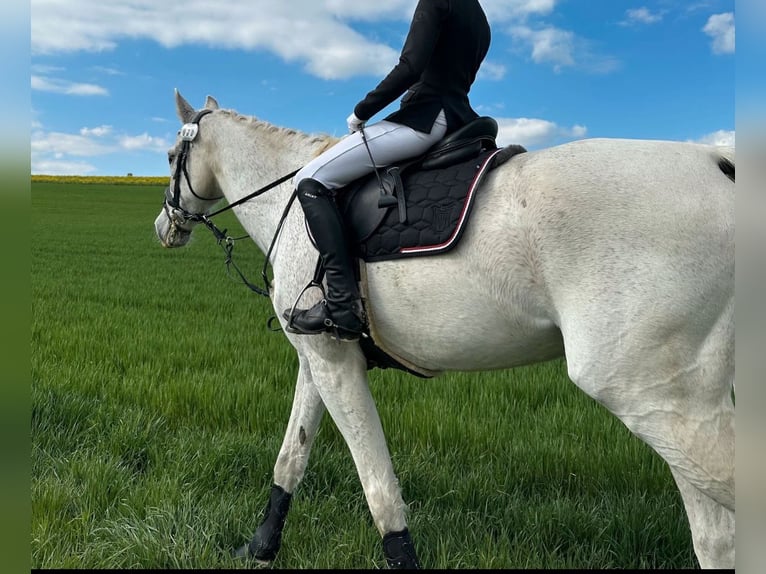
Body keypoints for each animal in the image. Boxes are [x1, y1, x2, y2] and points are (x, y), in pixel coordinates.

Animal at [154, 90, 735, 569]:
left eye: (170, 158)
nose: (164, 227)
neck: (291, 201)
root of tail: (720, 162)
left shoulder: (335, 366)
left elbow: (379, 488)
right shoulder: (319, 360)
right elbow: (290, 458)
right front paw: (260, 548)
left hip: (652, 395)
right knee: (715, 537)